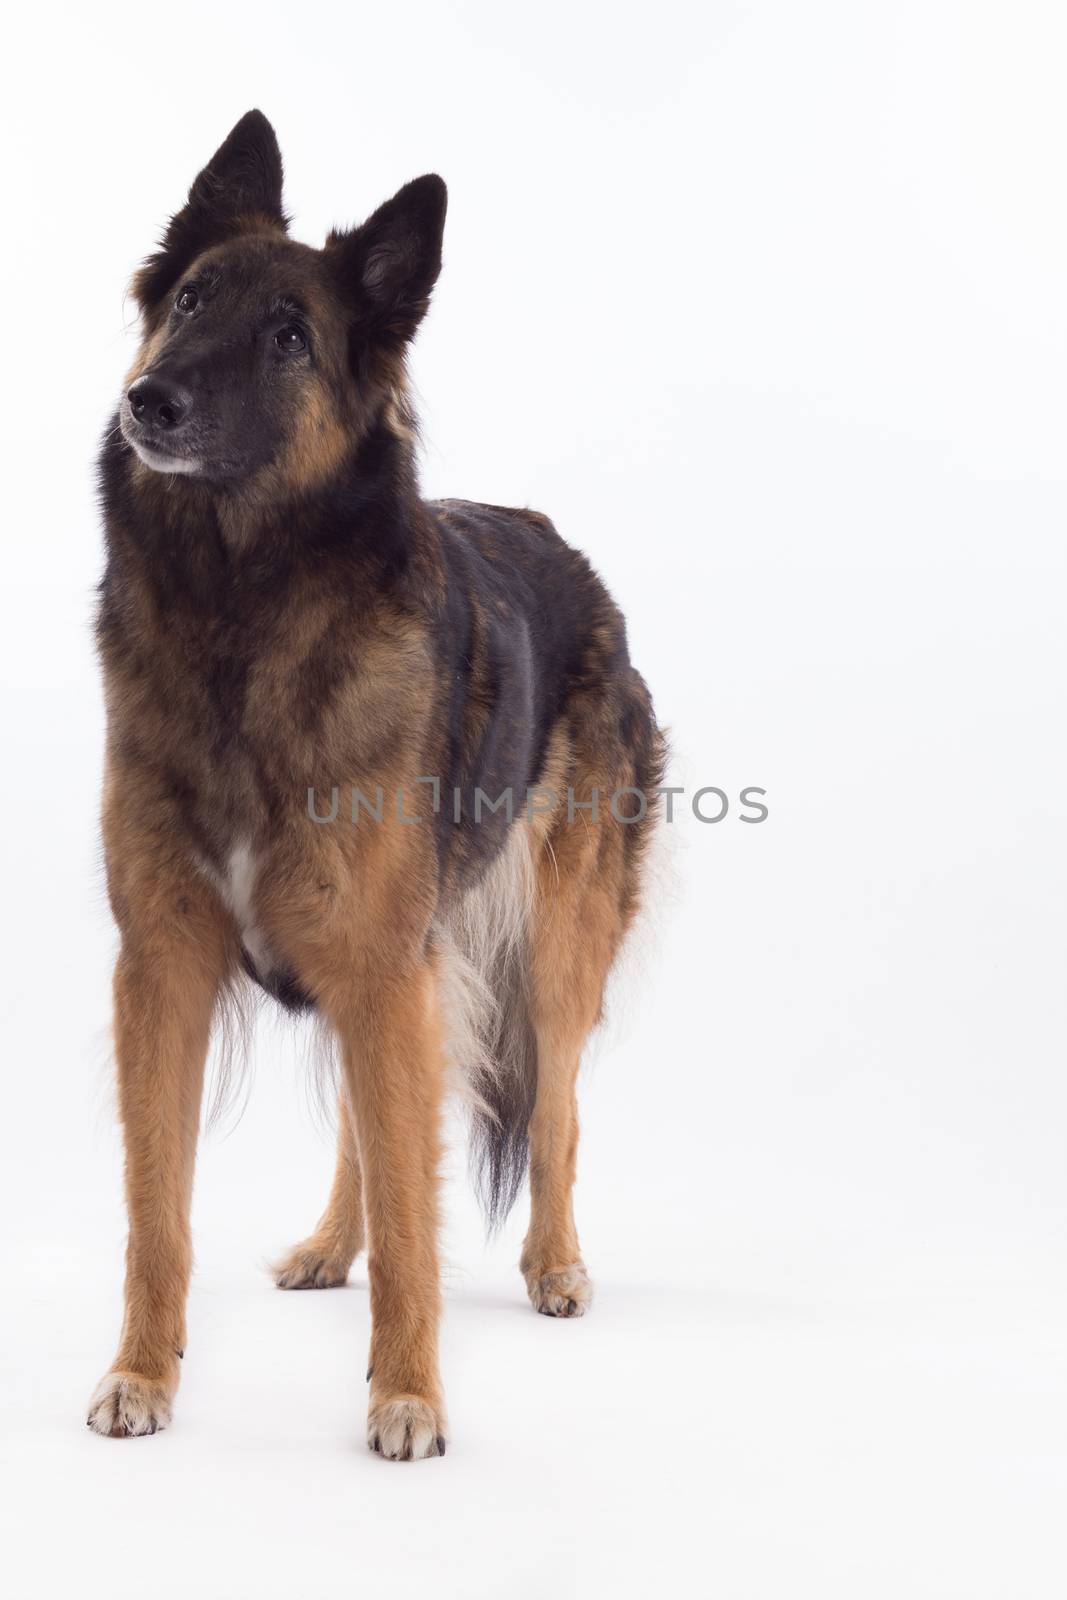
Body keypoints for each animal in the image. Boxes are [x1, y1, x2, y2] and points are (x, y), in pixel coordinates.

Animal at [87, 109, 662, 1465]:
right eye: (188, 300)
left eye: (290, 337)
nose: (149, 400)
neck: (239, 613)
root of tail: (574, 557)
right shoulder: (167, 964)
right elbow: (156, 1209)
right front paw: (141, 1374)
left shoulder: (387, 954)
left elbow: (419, 1213)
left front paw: (406, 1397)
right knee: (369, 1117)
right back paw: (327, 1245)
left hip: (547, 948)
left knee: (553, 1110)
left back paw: (554, 1266)